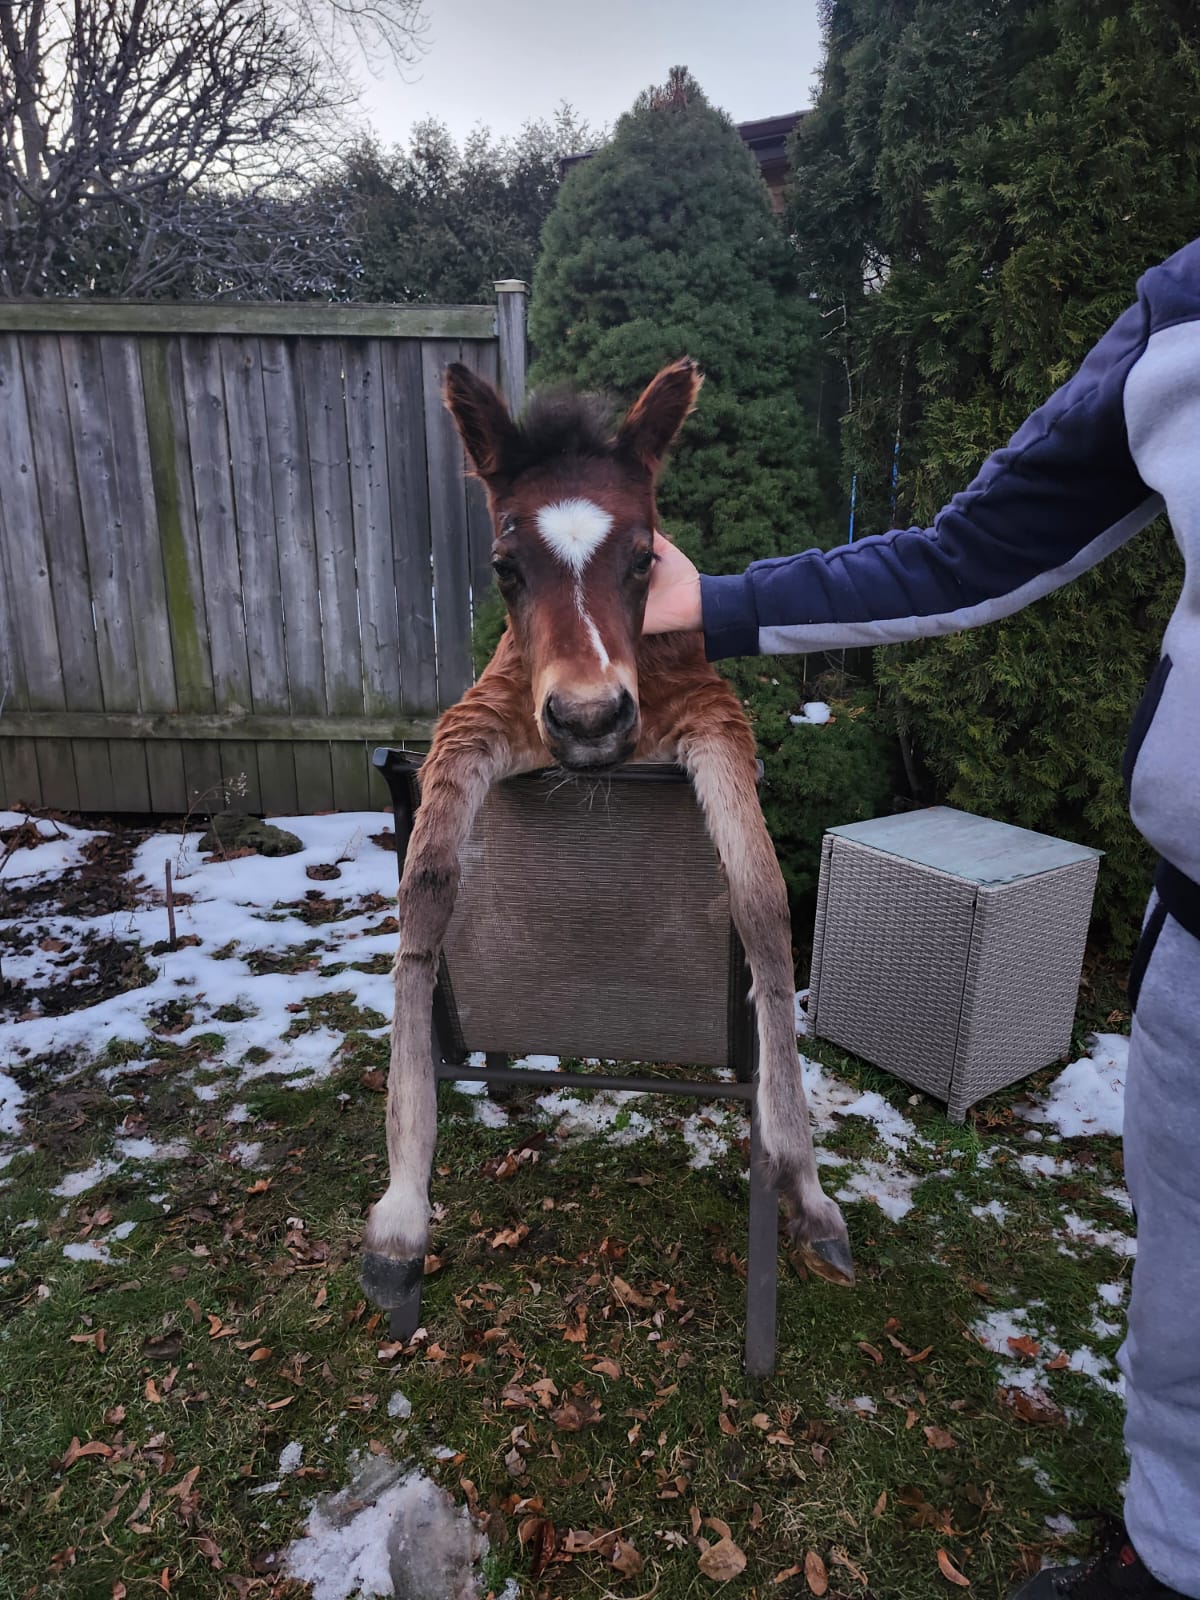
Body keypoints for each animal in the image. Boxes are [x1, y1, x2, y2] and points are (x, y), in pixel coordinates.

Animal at [360, 356, 855, 1325]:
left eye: (645, 557)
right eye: (505, 566)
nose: (589, 718)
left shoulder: (711, 715)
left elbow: (761, 899)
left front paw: (807, 1192)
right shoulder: (489, 717)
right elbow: (426, 887)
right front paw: (401, 1214)